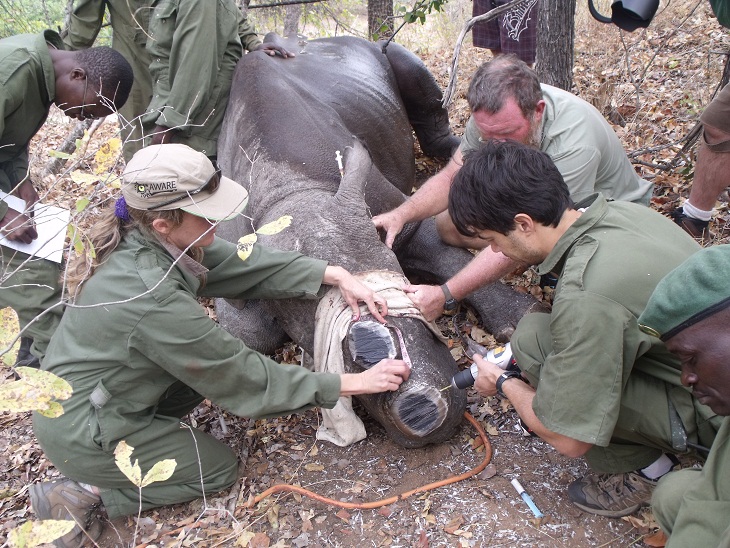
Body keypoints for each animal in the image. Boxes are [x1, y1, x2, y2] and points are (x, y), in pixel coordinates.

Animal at [215, 34, 536, 448]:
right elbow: (251, 332)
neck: (288, 194)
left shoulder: (393, 213)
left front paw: (520, 319)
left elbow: (449, 258)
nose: (420, 410)